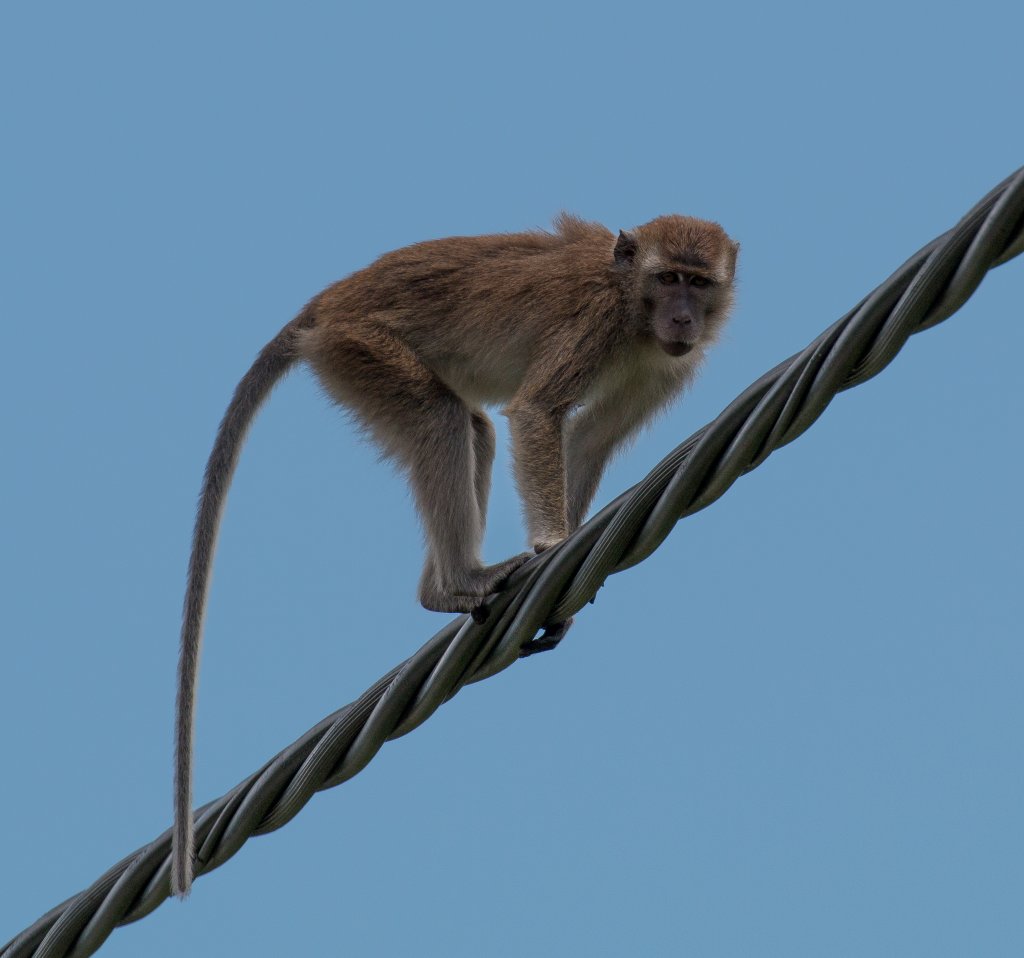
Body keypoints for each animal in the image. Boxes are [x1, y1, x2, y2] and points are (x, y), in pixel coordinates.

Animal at [172, 212, 739, 896]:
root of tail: (328, 302)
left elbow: (589, 437)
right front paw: (553, 544)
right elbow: (538, 411)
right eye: (668, 279)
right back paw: (461, 580)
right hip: (360, 347)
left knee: (473, 429)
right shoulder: (596, 324)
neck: (633, 306)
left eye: (698, 283)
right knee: (437, 416)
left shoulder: (665, 366)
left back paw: (439, 589)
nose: (683, 319)